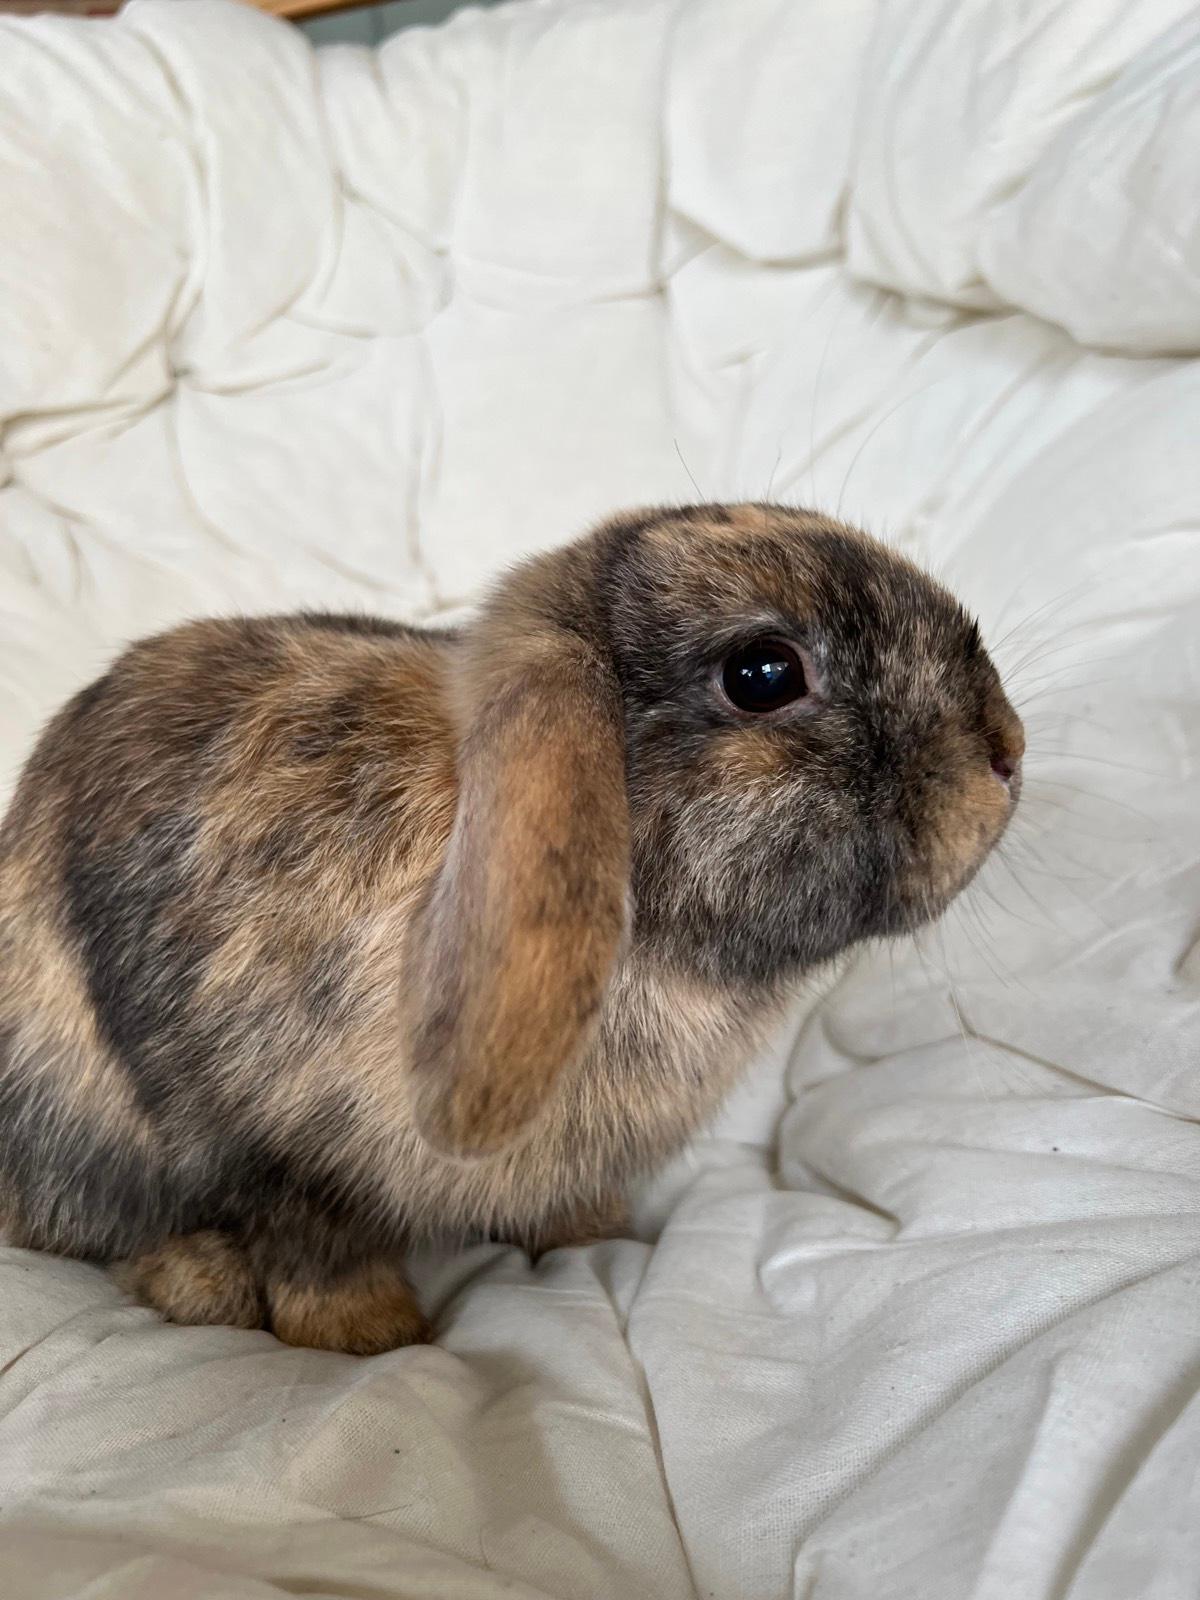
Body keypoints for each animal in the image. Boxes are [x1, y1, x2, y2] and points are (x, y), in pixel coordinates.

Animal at [0, 504, 1024, 1354]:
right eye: (763, 673)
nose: (1008, 749)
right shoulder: (272, 1144)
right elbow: (317, 1246)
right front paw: (372, 1336)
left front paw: (595, 1232)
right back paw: (204, 1284)